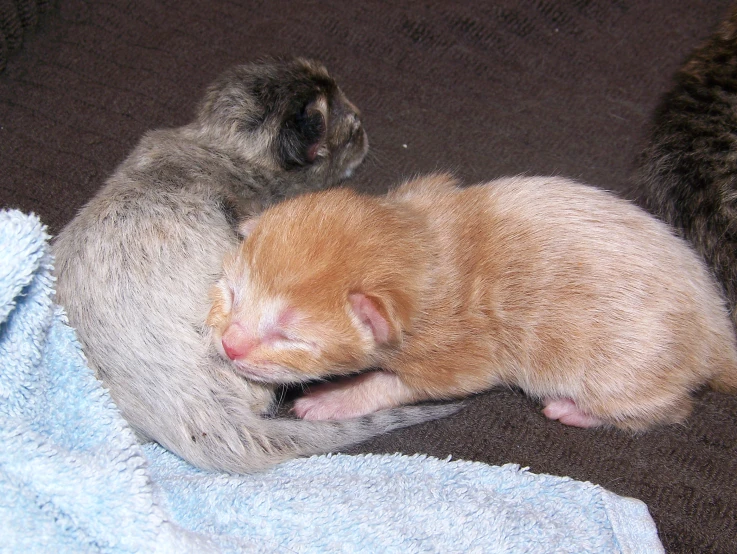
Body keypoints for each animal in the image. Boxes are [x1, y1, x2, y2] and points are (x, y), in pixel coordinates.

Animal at [204, 175, 736, 430]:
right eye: (231, 293)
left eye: (289, 336)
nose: (230, 347)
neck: (428, 248)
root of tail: (716, 329)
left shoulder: (461, 354)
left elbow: (394, 383)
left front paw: (337, 397)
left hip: (620, 376)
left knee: (669, 410)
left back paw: (578, 411)